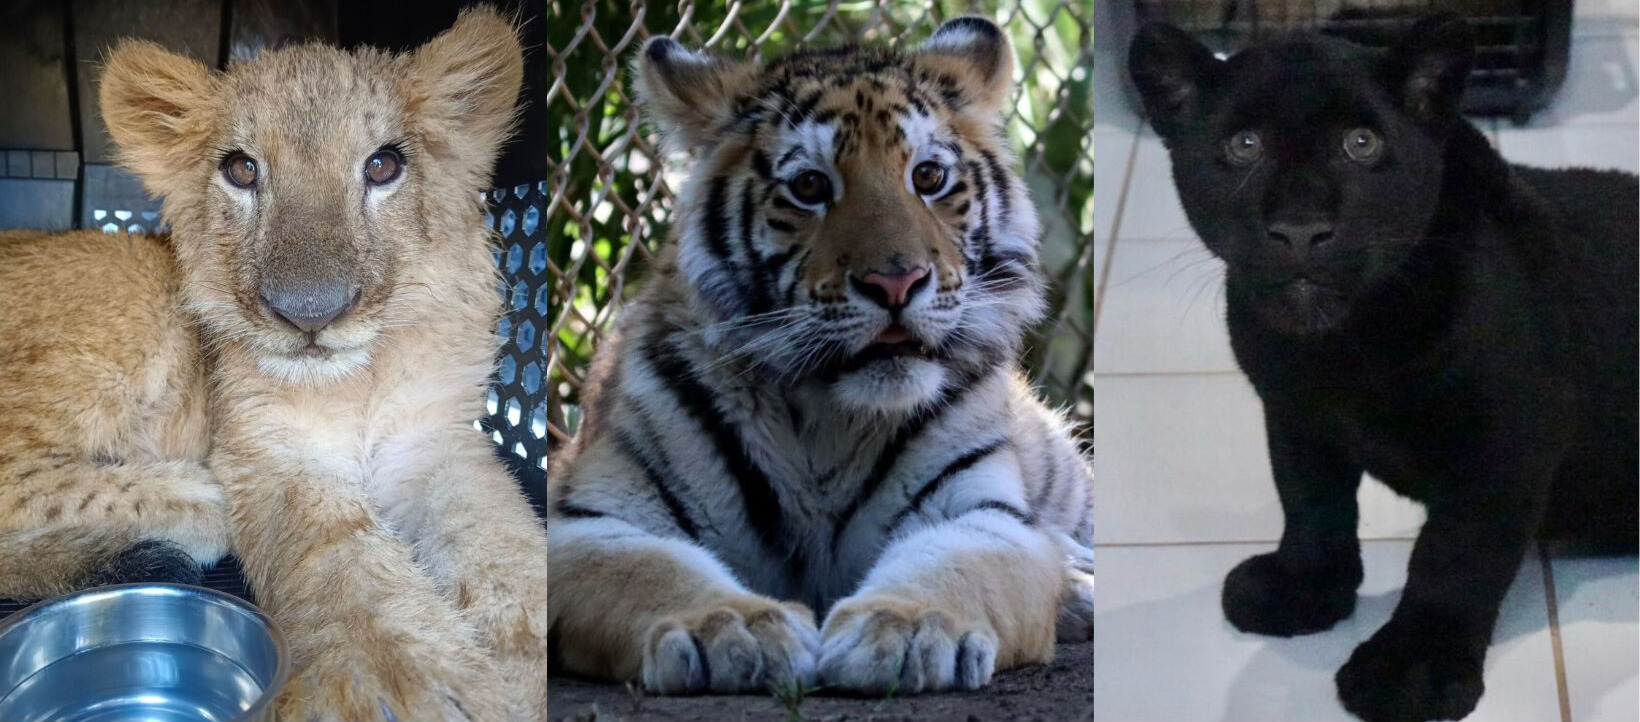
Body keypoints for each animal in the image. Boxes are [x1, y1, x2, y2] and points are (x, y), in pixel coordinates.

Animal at [546, 17, 1095, 695]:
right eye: (810, 187)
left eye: (929, 177)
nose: (896, 282)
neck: (829, 417)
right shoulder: (589, 520)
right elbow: (652, 570)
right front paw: (732, 629)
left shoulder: (980, 514)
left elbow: (951, 568)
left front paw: (903, 631)